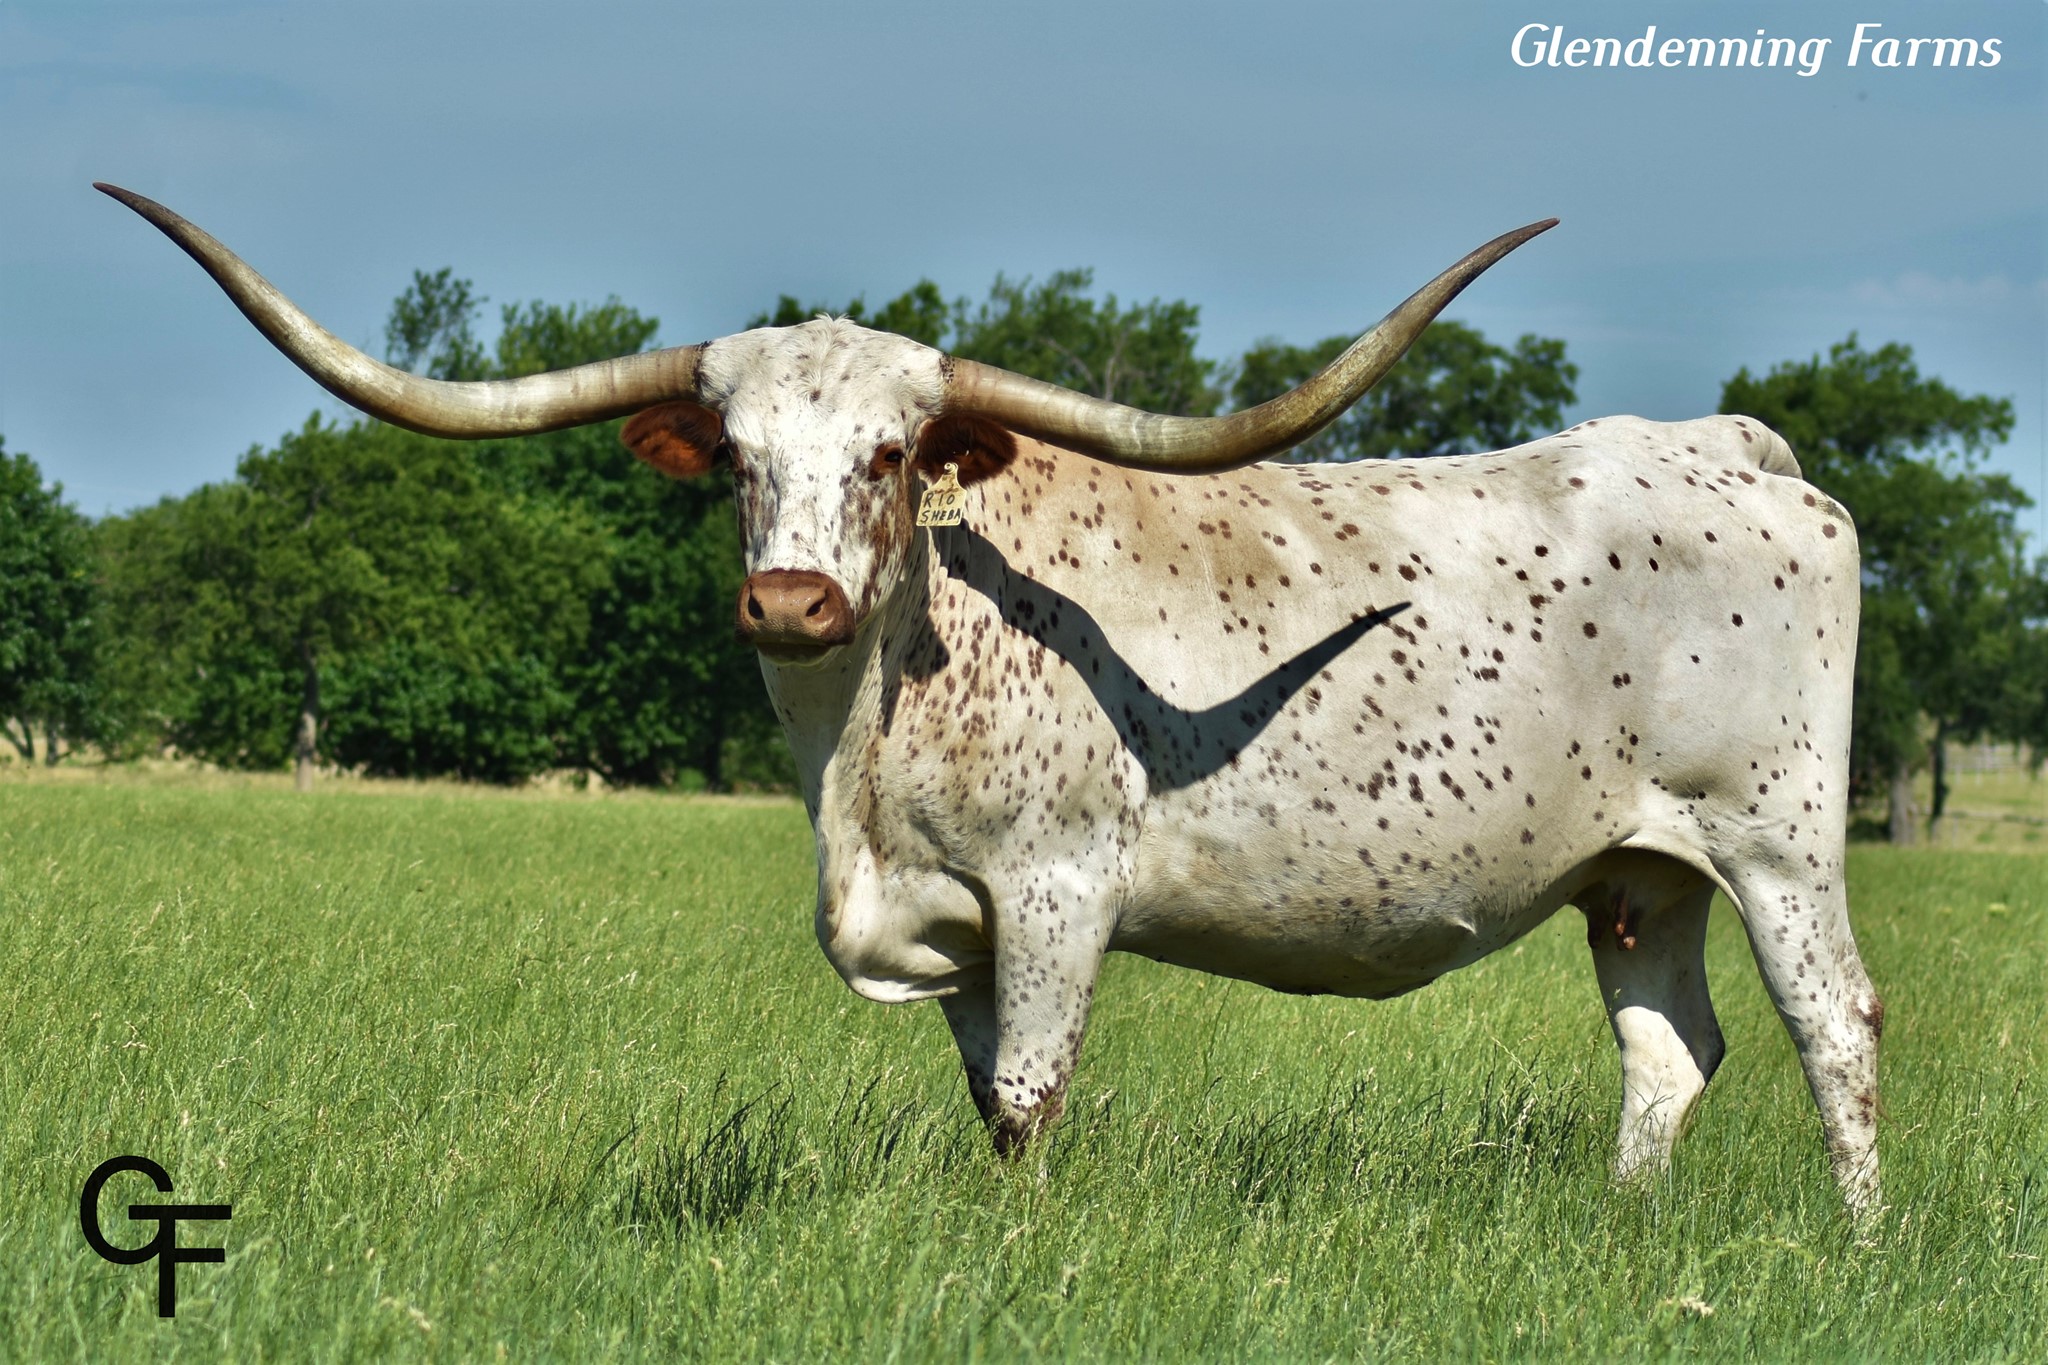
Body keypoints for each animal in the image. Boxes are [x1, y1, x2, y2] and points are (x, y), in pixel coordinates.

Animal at [100, 183, 1884, 1214]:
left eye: (894, 454)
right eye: (736, 460)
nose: (792, 600)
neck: (866, 752)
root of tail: (1729, 446)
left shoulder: (1054, 890)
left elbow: (1032, 1097)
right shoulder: (954, 922)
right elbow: (984, 1104)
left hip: (1778, 844)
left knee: (1835, 1027)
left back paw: (1857, 1243)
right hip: (1640, 871)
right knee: (1670, 1049)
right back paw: (1627, 1229)